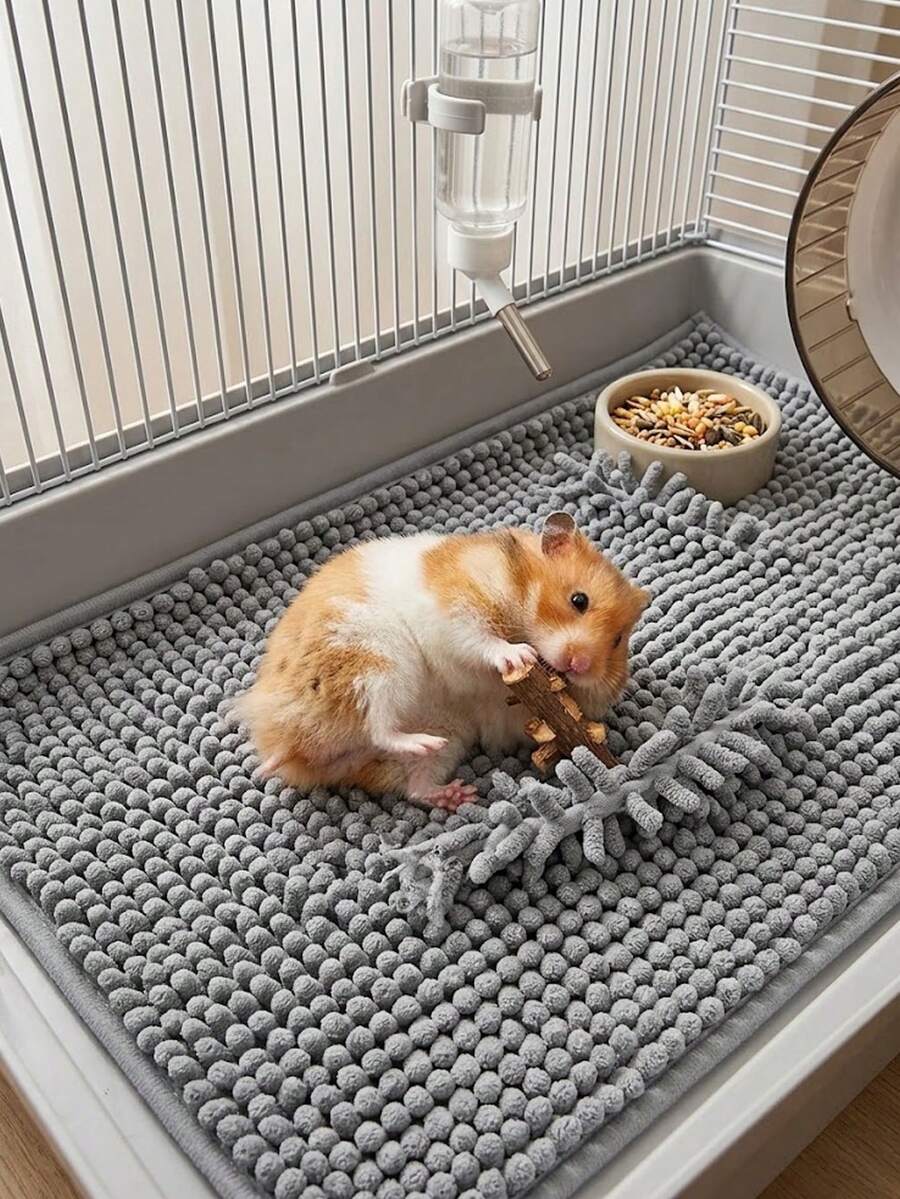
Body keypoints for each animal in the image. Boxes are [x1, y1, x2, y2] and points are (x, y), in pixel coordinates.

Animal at [238, 511, 647, 811]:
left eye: (617, 641)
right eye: (579, 600)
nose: (580, 666)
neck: (521, 597)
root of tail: (286, 745)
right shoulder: (457, 607)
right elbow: (481, 639)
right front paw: (519, 655)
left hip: (444, 731)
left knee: (414, 786)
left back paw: (457, 793)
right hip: (373, 660)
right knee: (378, 725)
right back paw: (418, 744)